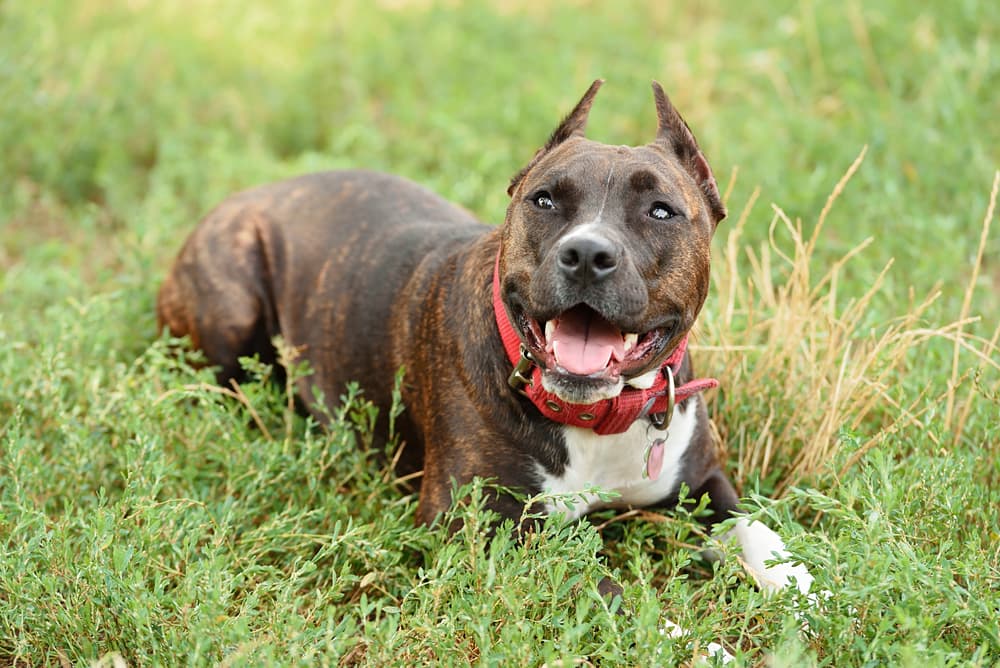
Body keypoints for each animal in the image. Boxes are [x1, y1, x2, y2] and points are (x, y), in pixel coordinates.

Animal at [156, 79, 812, 656]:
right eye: (544, 200)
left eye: (661, 211)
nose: (587, 253)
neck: (597, 416)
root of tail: (246, 195)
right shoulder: (482, 523)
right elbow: (606, 591)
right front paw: (695, 646)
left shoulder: (700, 482)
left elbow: (757, 528)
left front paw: (808, 588)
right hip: (232, 299)